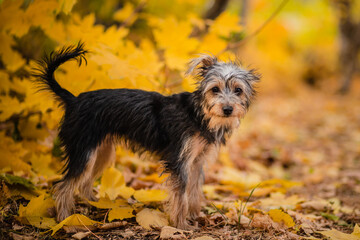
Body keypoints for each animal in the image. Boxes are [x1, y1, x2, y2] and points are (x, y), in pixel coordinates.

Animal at [33, 42, 258, 229]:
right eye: (215, 89)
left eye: (238, 90)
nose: (227, 109)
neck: (198, 114)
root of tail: (73, 100)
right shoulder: (180, 161)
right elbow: (181, 194)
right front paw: (181, 224)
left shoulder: (197, 160)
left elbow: (193, 190)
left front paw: (194, 215)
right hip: (83, 150)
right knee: (64, 185)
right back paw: (65, 220)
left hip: (102, 152)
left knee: (84, 183)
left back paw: (95, 204)